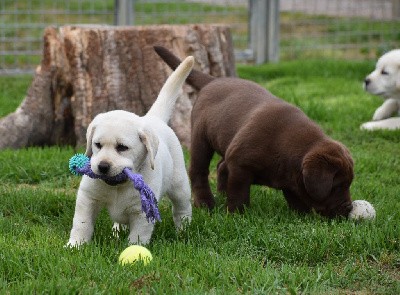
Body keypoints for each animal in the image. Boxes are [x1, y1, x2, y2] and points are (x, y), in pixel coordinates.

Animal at [66, 55, 195, 247]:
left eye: (122, 147)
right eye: (97, 145)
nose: (102, 167)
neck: (118, 185)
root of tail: (152, 118)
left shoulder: (142, 212)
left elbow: (138, 236)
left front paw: (135, 252)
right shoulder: (87, 198)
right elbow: (82, 224)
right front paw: (75, 245)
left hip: (179, 184)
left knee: (182, 208)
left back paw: (184, 231)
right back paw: (116, 232)